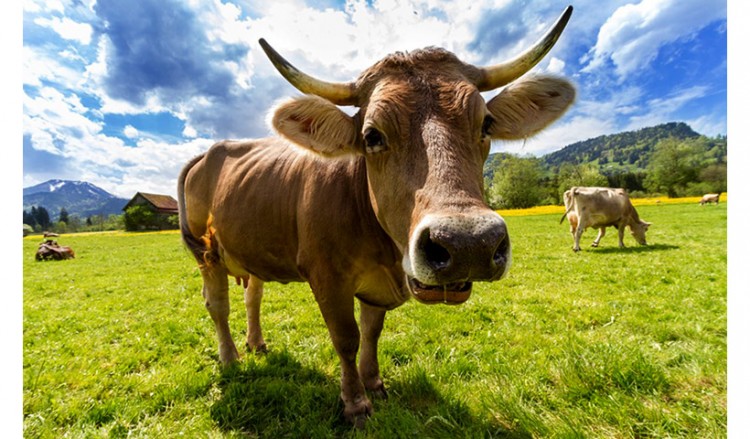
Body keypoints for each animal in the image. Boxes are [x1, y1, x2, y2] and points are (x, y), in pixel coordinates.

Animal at [181, 5, 576, 428]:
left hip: (250, 249)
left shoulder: (376, 286)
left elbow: (372, 332)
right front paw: (355, 403)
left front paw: (374, 383)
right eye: (372, 135)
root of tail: (211, 151)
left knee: (252, 295)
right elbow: (346, 337)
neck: (383, 251)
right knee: (217, 305)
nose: (468, 244)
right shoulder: (327, 277)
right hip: (206, 253)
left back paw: (256, 343)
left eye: (486, 123)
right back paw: (230, 358)